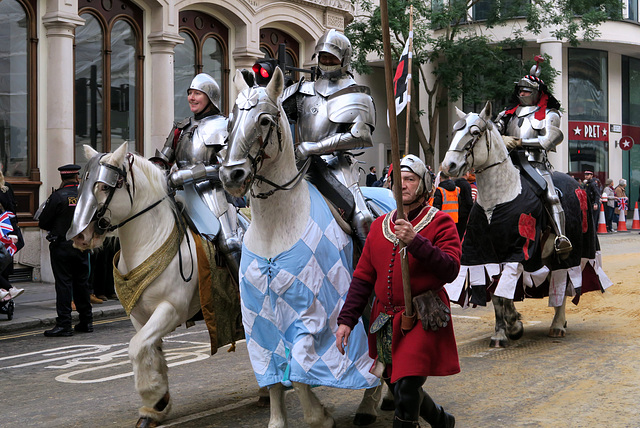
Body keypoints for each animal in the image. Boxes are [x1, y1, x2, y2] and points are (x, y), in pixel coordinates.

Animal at [69, 145, 241, 428]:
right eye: (81, 185)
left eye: (104, 186)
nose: (80, 237)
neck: (148, 241)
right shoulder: (140, 315)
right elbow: (150, 351)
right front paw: (155, 406)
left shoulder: (170, 309)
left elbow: (137, 348)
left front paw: (153, 398)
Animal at [219, 68, 384, 426]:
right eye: (230, 122)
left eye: (265, 120)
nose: (231, 175)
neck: (276, 227)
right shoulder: (261, 320)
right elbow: (275, 377)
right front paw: (279, 418)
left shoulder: (314, 315)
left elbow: (299, 370)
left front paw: (319, 416)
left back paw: (370, 404)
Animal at [440, 103, 608, 348]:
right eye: (454, 131)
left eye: (475, 132)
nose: (448, 165)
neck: (499, 198)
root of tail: (579, 184)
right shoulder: (485, 254)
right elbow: (498, 294)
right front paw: (501, 332)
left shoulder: (520, 250)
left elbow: (504, 290)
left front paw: (514, 325)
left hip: (571, 251)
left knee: (562, 280)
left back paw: (558, 325)